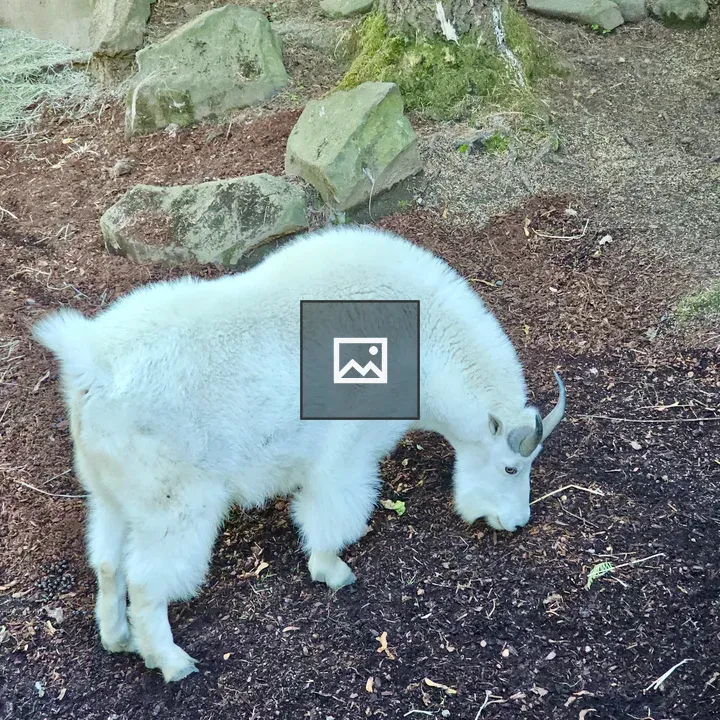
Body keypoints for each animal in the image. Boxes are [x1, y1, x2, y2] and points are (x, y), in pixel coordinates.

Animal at [32, 225, 565, 682]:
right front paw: (333, 571)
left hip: (112, 495)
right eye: (511, 466)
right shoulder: (348, 453)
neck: (425, 346)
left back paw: (118, 638)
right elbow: (332, 512)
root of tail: (92, 365)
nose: (516, 522)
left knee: (107, 564)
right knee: (147, 584)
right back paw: (170, 660)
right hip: (174, 507)